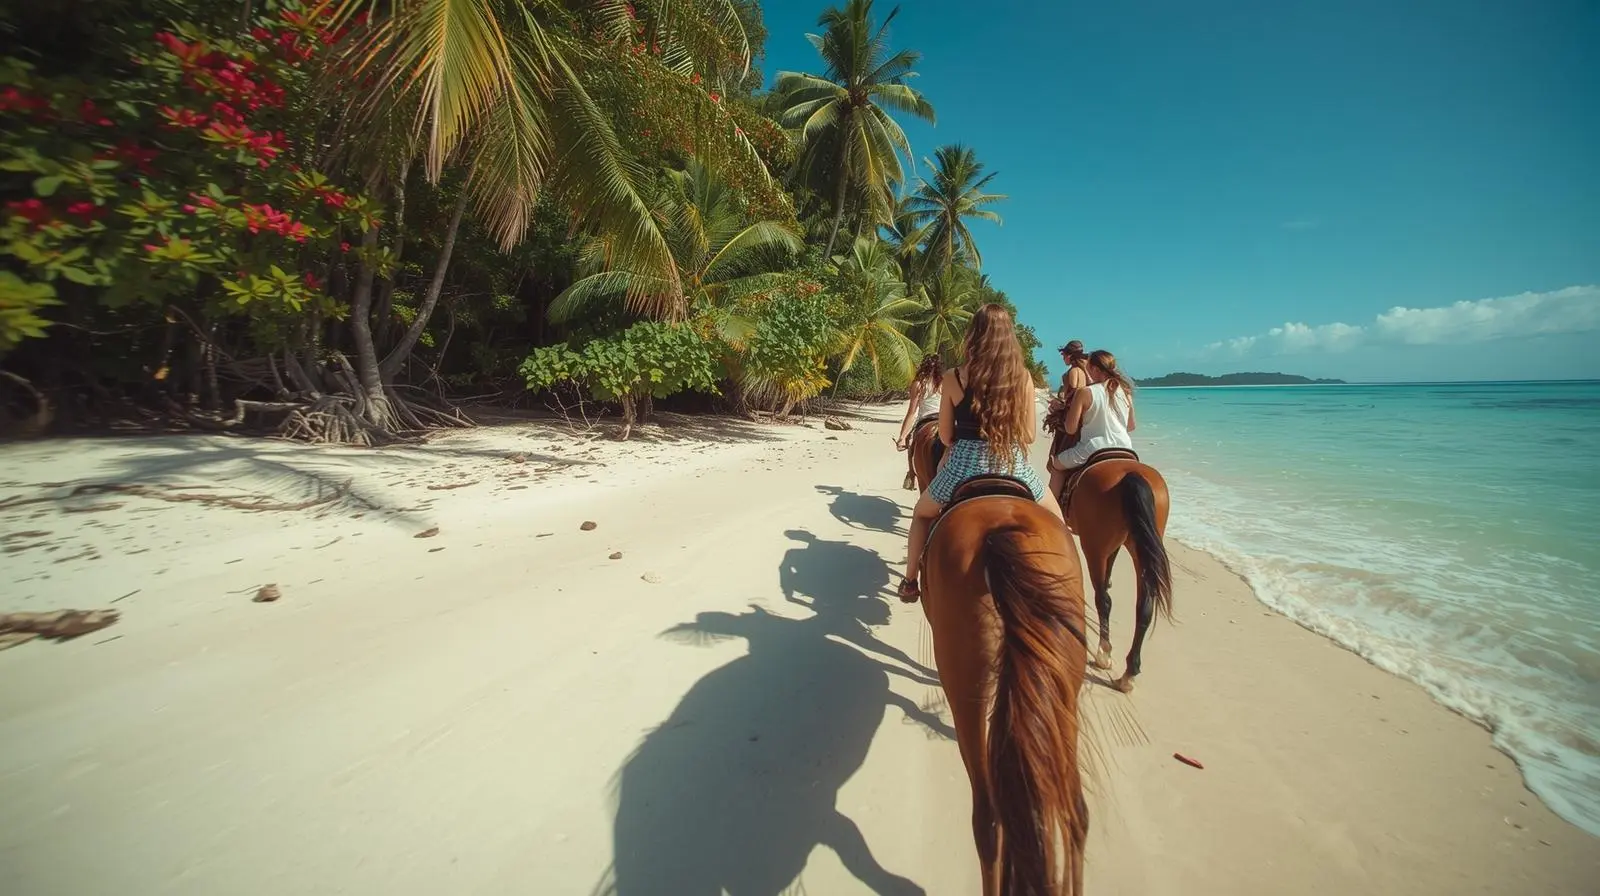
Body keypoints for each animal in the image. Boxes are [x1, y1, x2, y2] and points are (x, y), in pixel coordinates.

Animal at [1057, 449, 1174, 693]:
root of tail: (1131, 475)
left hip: (1094, 547)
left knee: (1103, 599)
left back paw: (1103, 654)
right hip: (1142, 549)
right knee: (1144, 608)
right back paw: (1129, 673)